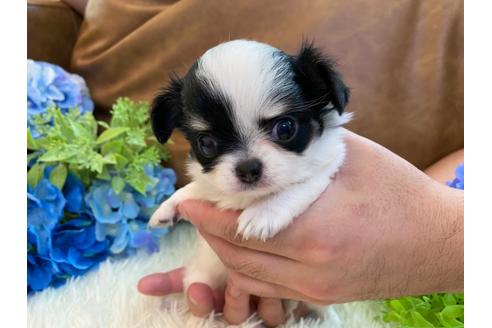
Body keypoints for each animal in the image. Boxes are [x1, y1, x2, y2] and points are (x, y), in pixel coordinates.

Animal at [149, 39, 350, 320]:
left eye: (285, 128)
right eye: (206, 143)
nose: (248, 168)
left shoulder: (328, 165)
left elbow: (298, 187)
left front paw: (262, 215)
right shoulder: (213, 184)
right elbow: (197, 186)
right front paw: (167, 208)